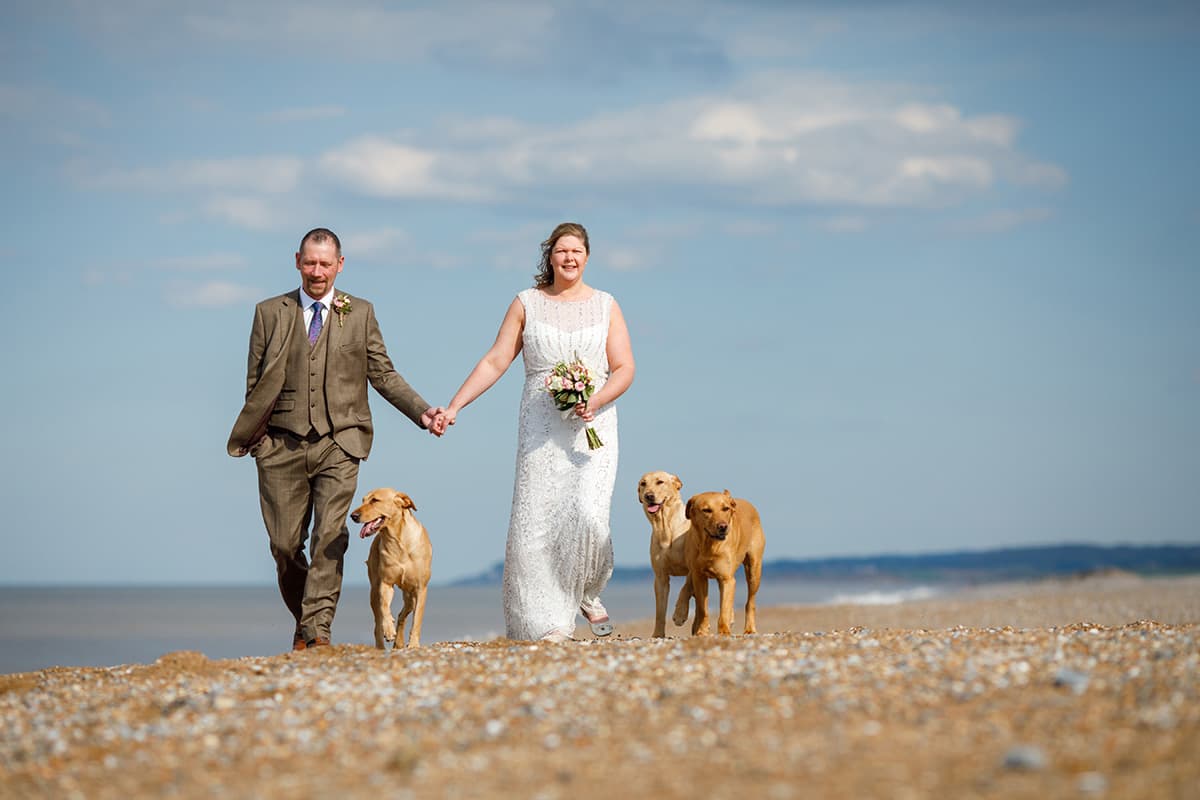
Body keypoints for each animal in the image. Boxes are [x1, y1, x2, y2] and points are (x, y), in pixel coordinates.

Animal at [350, 489, 434, 652]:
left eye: (375, 500)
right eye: (363, 500)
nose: (353, 516)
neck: (398, 539)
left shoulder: (421, 588)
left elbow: (417, 619)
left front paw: (413, 644)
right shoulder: (385, 583)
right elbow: (385, 607)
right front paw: (389, 629)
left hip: (410, 596)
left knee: (403, 614)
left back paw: (399, 642)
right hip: (374, 591)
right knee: (378, 623)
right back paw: (382, 645)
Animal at [638, 470, 696, 638]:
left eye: (660, 482)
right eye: (643, 483)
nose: (648, 496)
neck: (666, 527)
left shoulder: (694, 567)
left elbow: (685, 588)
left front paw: (680, 614)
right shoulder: (660, 577)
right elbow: (660, 611)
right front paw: (658, 634)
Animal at [681, 489, 763, 638]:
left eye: (725, 508)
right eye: (706, 510)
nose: (723, 527)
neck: (709, 546)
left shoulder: (727, 579)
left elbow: (724, 608)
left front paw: (724, 631)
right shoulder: (699, 577)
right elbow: (703, 609)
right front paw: (702, 630)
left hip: (754, 570)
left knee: (750, 602)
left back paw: (749, 629)